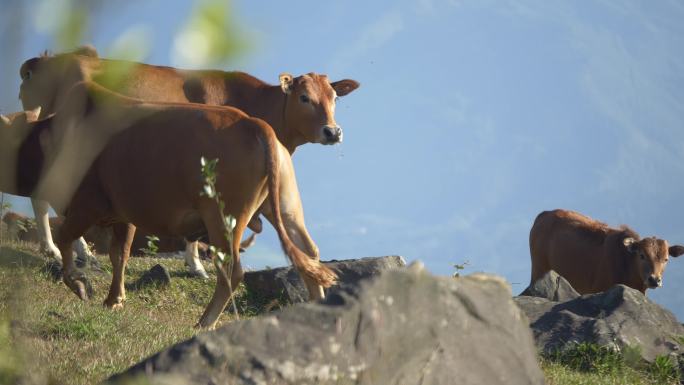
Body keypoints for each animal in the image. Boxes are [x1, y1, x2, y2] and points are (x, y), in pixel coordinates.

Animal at [11, 82, 336, 328]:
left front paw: (78, 283)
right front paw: (113, 300)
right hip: (284, 205)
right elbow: (119, 254)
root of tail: (254, 124)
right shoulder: (123, 213)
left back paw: (205, 322)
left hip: (223, 217)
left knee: (232, 271)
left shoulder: (86, 204)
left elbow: (67, 238)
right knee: (308, 252)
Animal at [17, 46, 358, 278]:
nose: (333, 131)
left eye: (334, 98)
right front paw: (196, 266)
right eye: (304, 98)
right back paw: (66, 250)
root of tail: (45, 61)